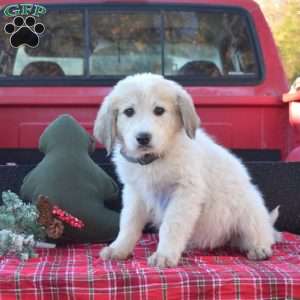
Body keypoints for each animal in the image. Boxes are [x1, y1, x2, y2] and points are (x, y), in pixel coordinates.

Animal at [94, 72, 278, 268]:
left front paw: (164, 254)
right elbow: (128, 222)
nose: (143, 138)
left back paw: (259, 248)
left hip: (248, 211)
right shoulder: (135, 192)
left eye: (159, 110)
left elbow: (171, 225)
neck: (154, 160)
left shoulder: (185, 192)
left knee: (261, 235)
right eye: (129, 112)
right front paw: (119, 248)